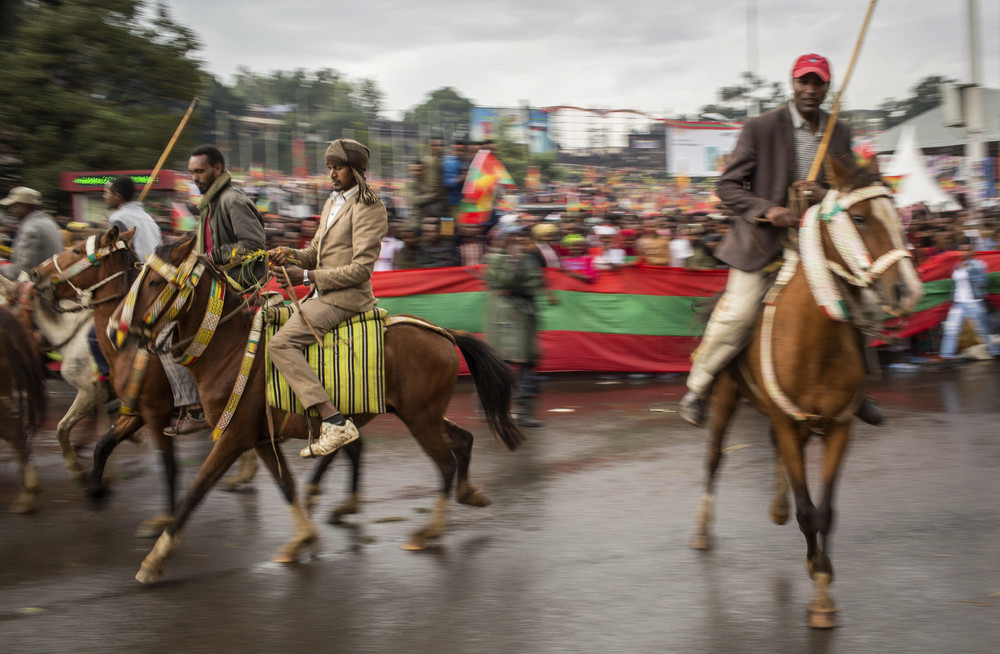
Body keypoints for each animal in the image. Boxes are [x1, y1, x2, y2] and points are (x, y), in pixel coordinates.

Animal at [121, 236, 528, 584]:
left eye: (154, 281)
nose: (119, 328)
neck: (230, 349)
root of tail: (442, 332)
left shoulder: (234, 435)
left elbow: (196, 489)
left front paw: (155, 559)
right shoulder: (260, 437)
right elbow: (286, 485)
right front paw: (301, 539)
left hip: (420, 419)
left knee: (444, 463)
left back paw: (427, 532)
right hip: (421, 413)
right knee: (462, 440)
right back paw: (468, 494)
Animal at [688, 160, 920, 632]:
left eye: (897, 214)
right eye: (860, 218)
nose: (906, 292)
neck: (816, 341)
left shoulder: (839, 428)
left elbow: (825, 511)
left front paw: (821, 579)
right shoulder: (786, 421)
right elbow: (808, 509)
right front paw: (820, 588)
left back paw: (776, 507)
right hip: (727, 392)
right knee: (714, 456)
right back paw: (702, 527)